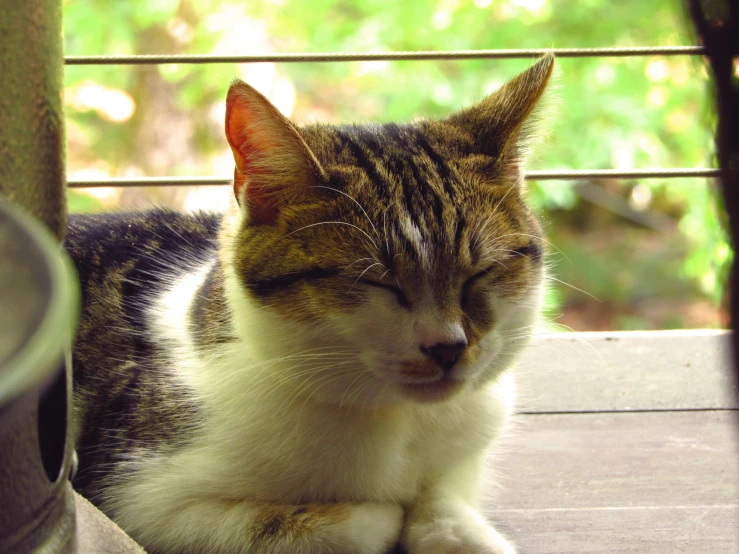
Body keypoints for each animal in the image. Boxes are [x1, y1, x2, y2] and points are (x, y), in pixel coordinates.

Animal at [66, 52, 556, 552]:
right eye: (375, 280)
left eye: (481, 272)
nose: (447, 347)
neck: (398, 422)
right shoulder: (141, 496)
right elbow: (307, 525)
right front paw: (380, 514)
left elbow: (443, 496)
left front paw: (460, 529)